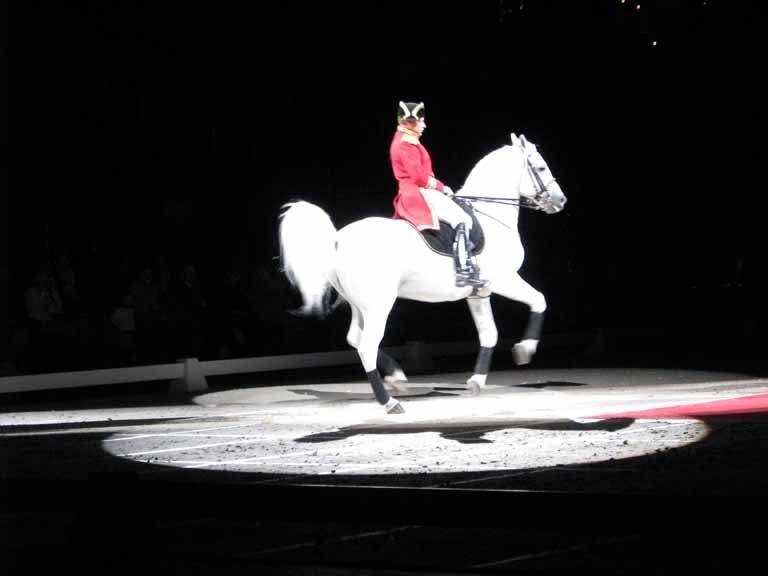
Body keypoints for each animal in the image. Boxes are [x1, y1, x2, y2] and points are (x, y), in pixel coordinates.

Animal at [280, 134, 568, 414]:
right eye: (541, 167)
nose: (561, 200)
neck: (491, 217)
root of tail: (337, 239)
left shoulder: (479, 292)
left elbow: (489, 334)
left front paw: (476, 382)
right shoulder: (504, 280)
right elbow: (539, 300)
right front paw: (525, 350)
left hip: (360, 304)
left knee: (355, 337)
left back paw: (397, 377)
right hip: (379, 304)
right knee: (366, 345)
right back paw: (390, 402)